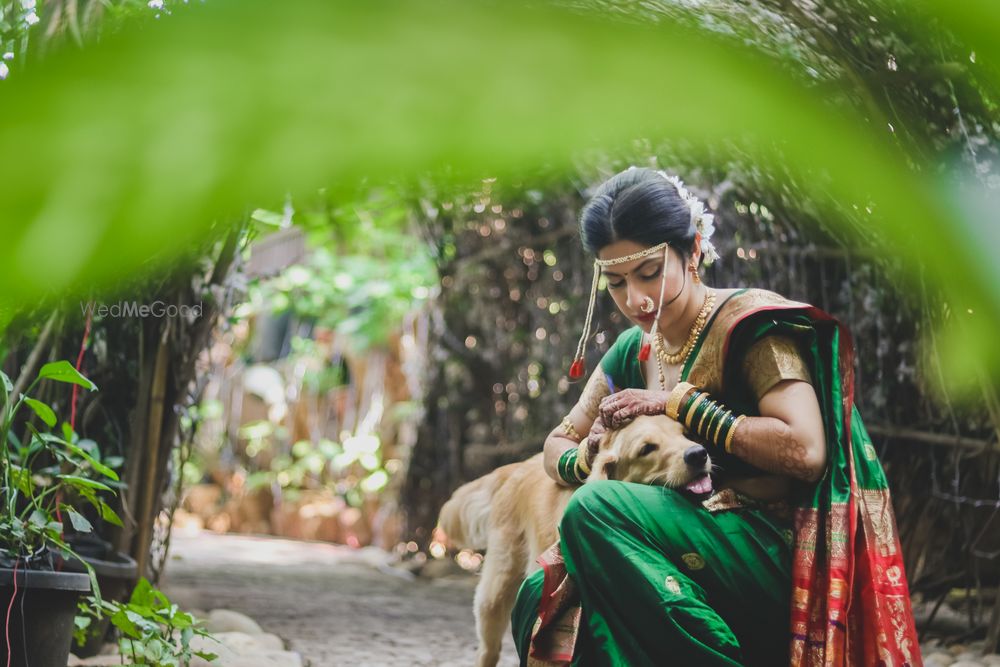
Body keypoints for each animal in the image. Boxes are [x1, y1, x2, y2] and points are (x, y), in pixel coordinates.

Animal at [438, 414, 712, 664]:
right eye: (646, 449)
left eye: (686, 433)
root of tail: (517, 467)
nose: (698, 454)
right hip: (498, 588)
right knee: (488, 648)